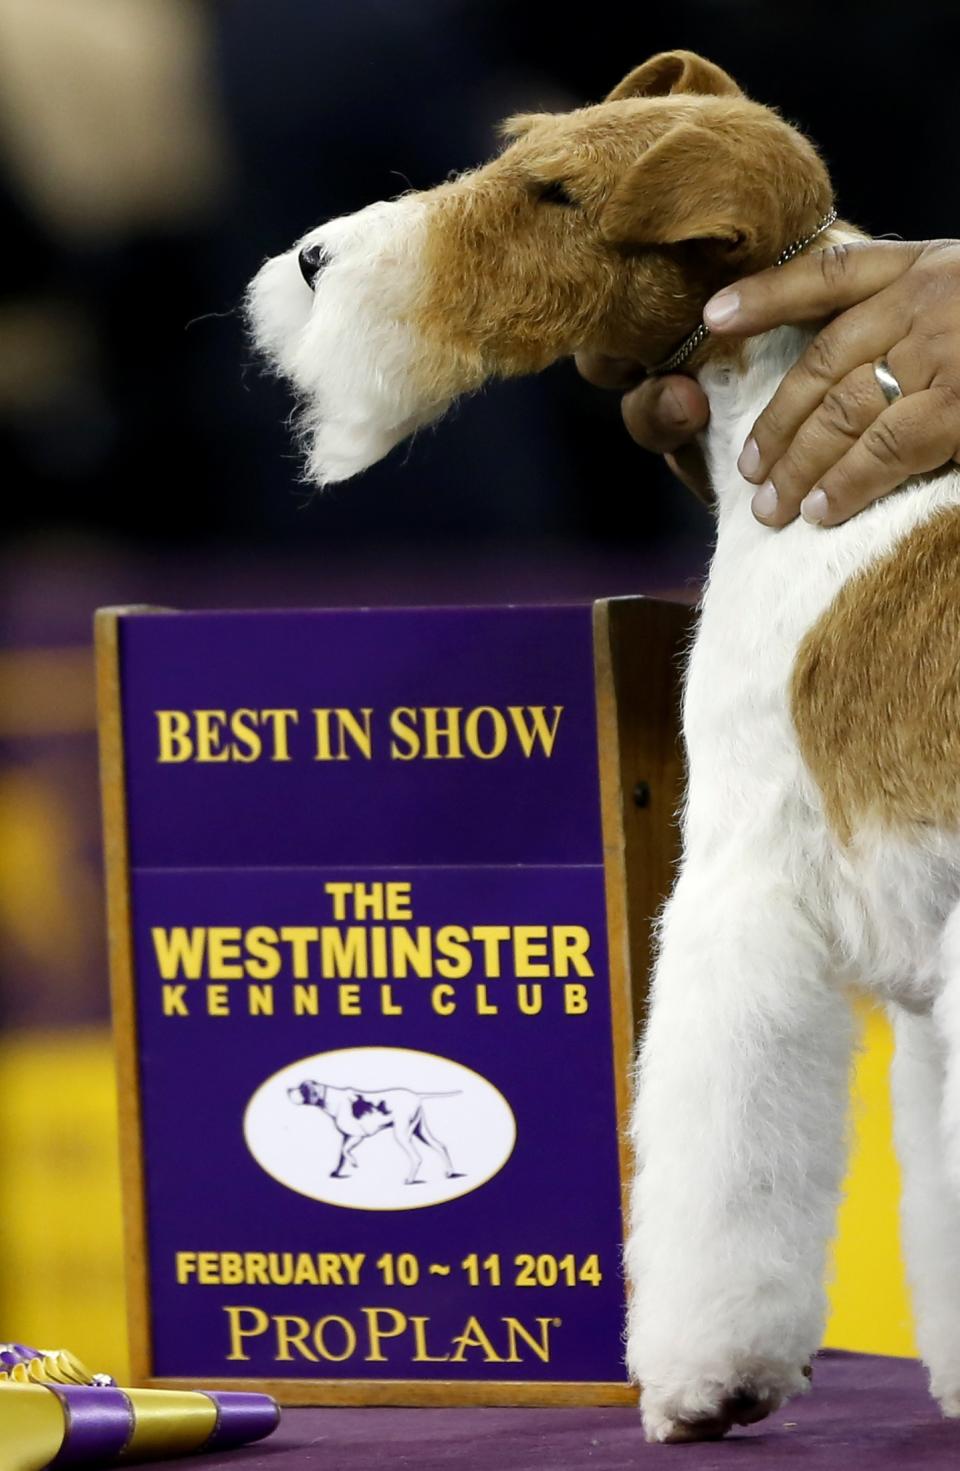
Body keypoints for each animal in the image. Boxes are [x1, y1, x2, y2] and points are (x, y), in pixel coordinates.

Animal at [286, 1082, 461, 1182]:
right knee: (441, 1146)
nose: (287, 1089)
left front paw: (354, 1163)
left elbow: (345, 1151)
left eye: (301, 1089)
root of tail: (416, 1095)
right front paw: (336, 1172)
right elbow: (341, 1155)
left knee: (417, 1158)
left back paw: (410, 1179)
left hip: (403, 1134)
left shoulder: (357, 1136)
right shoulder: (346, 1137)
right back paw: (450, 1172)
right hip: (420, 1132)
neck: (331, 1100)